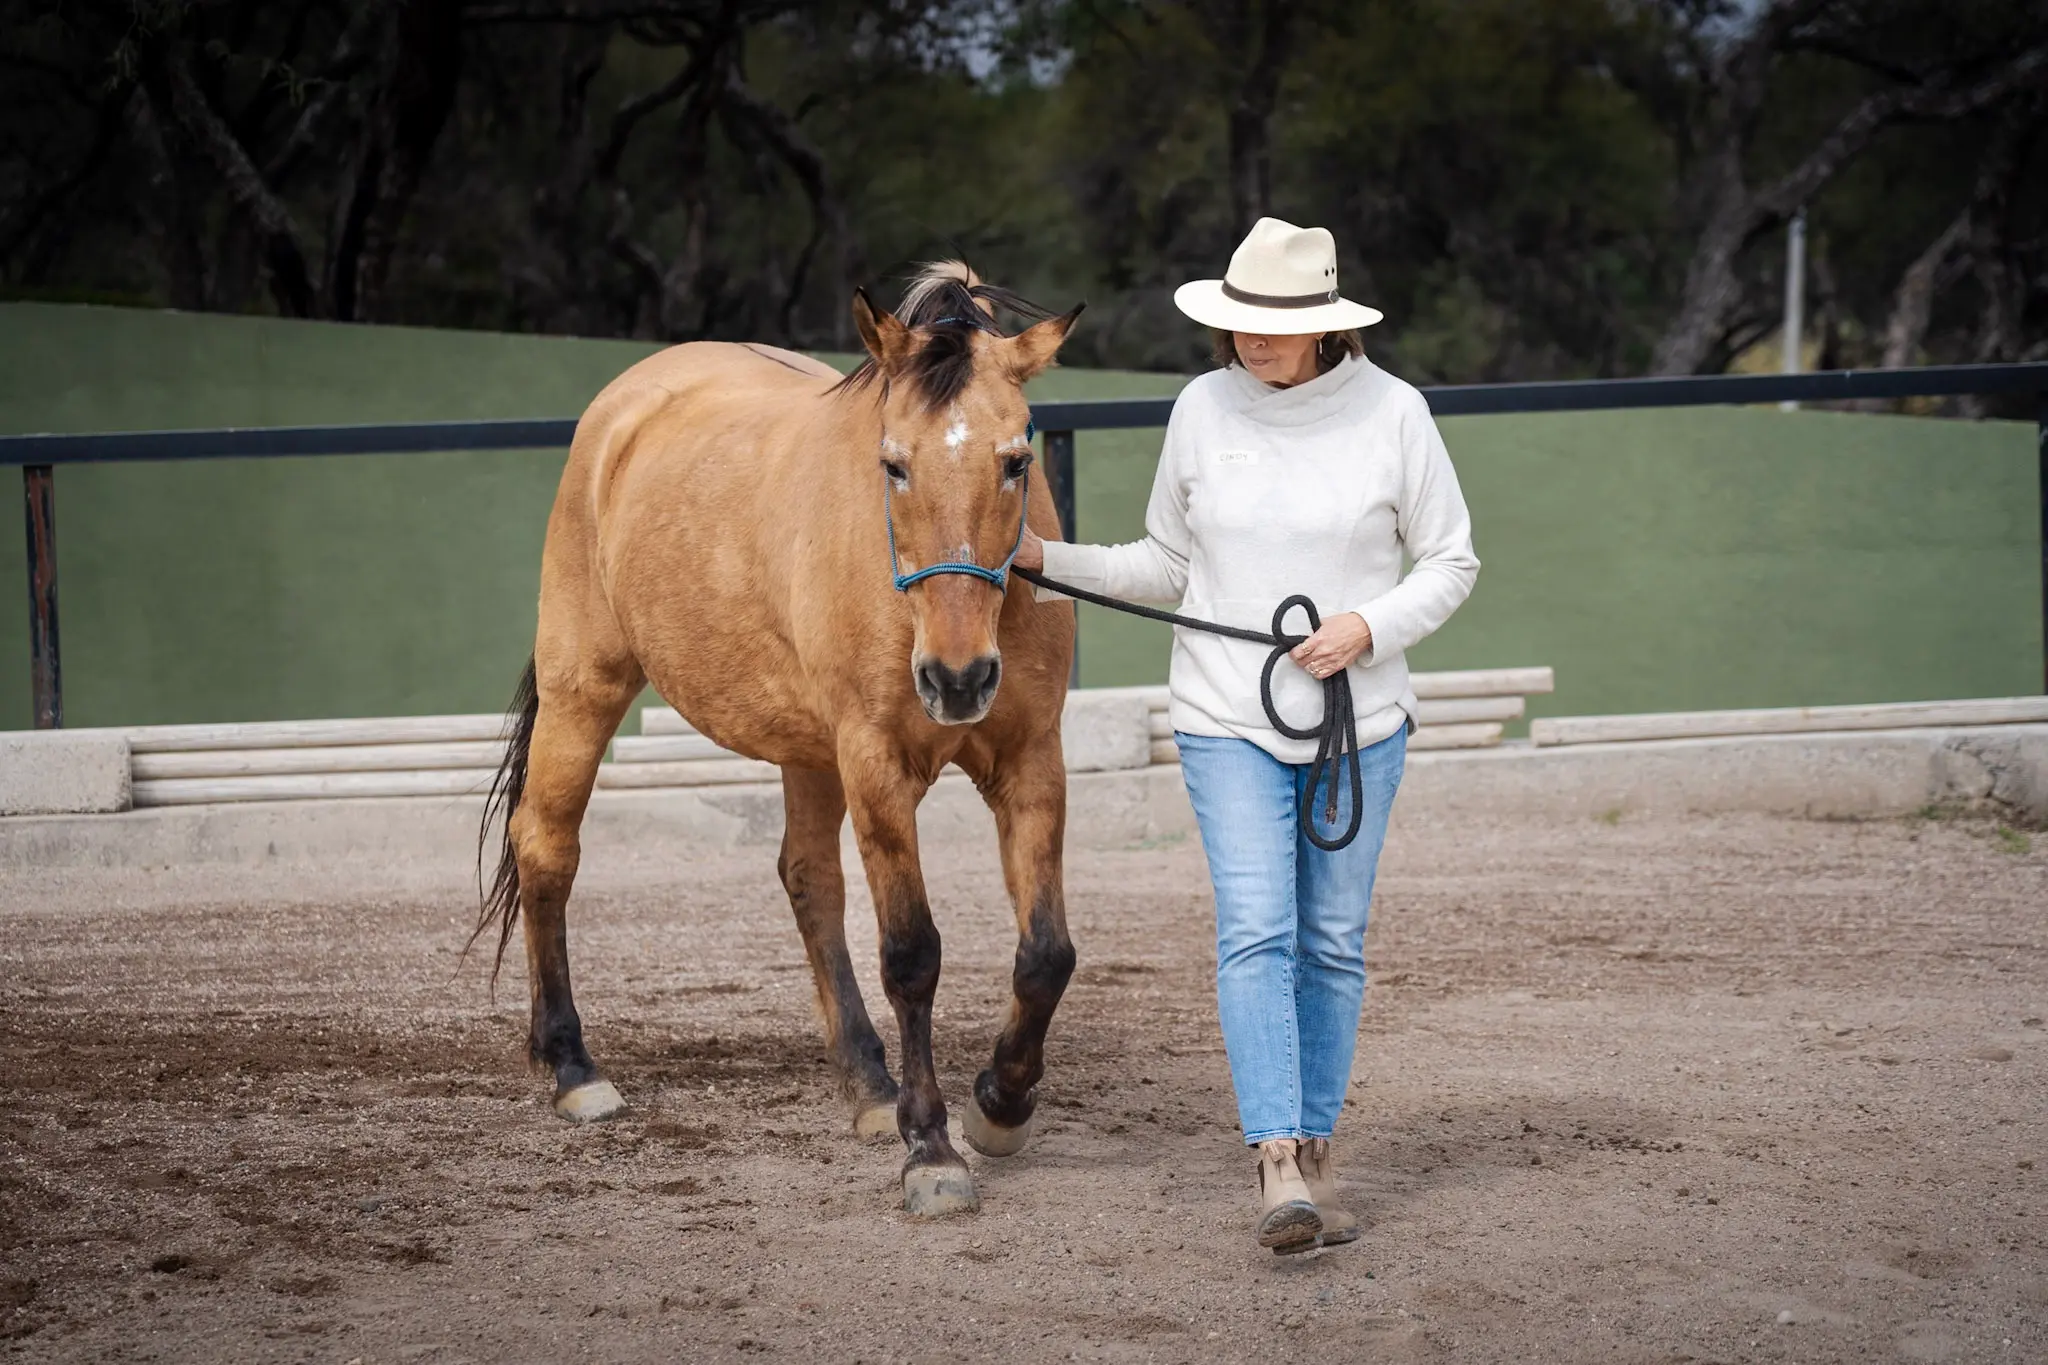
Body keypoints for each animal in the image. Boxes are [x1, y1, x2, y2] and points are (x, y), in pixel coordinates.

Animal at [472, 263, 1084, 1216]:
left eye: (1017, 459)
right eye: (893, 464)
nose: (956, 680)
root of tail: (624, 408)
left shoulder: (1031, 762)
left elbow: (1046, 953)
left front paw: (1000, 1102)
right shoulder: (875, 764)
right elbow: (912, 954)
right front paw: (932, 1148)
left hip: (806, 750)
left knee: (809, 880)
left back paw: (868, 1082)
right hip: (586, 687)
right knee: (546, 847)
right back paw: (573, 1067)